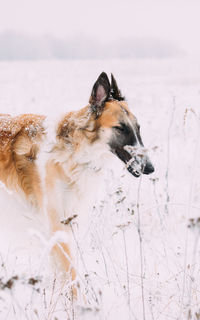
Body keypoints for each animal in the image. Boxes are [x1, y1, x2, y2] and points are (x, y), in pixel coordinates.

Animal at [0, 72, 154, 290]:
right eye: (120, 128)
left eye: (138, 128)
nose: (150, 168)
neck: (74, 151)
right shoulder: (57, 224)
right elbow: (72, 278)